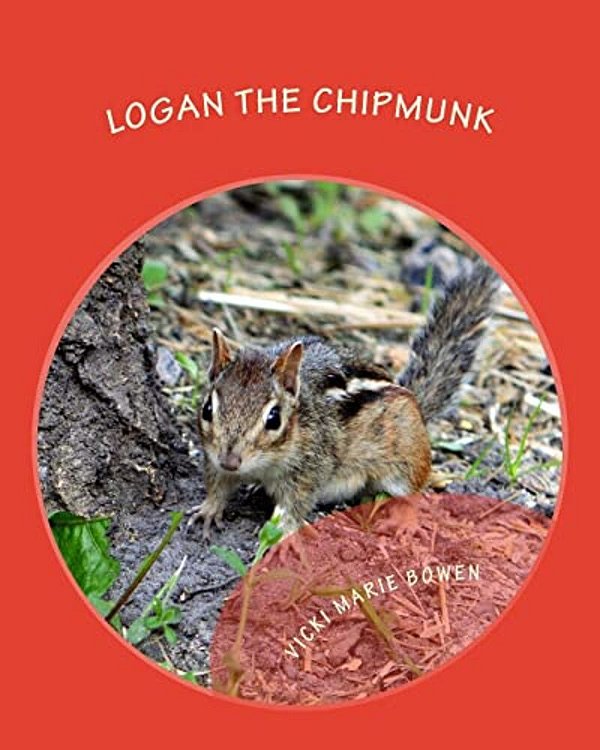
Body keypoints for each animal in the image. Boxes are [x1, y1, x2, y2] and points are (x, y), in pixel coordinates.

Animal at [192, 262, 498, 537]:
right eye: (207, 409)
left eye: (274, 419)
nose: (231, 460)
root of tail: (415, 403)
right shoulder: (213, 458)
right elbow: (217, 484)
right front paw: (209, 509)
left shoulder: (309, 470)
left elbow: (295, 505)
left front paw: (286, 533)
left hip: (406, 460)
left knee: (412, 492)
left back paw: (405, 521)